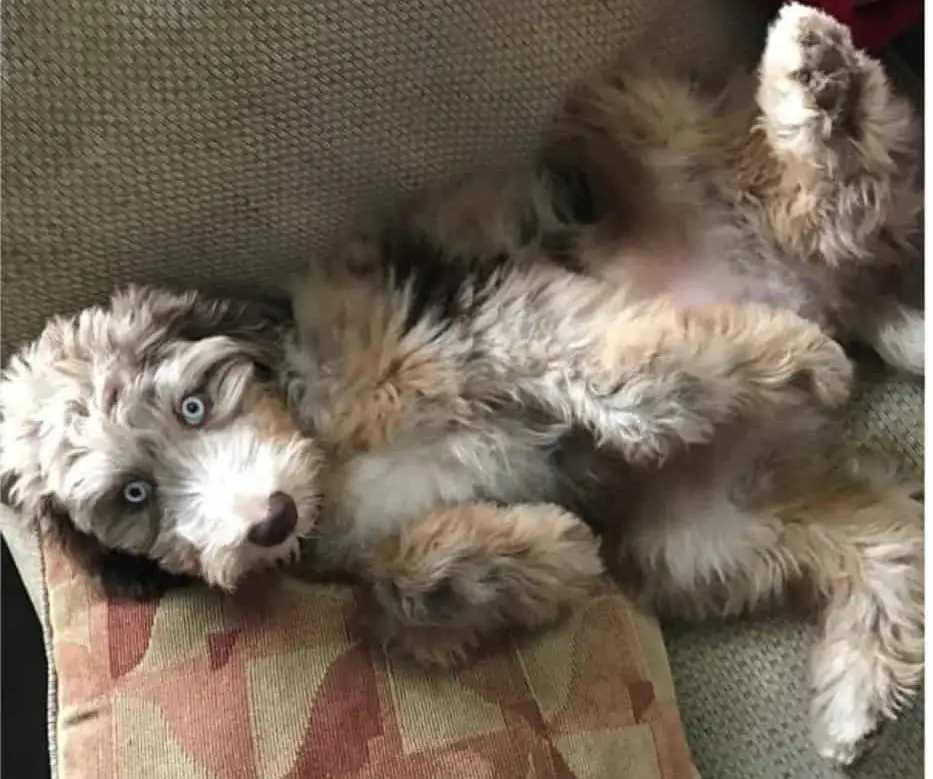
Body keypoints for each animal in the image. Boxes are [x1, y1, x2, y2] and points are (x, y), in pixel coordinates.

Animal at [0, 1, 916, 768]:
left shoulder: (486, 321)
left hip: (663, 136)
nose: (269, 520)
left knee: (844, 199)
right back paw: (859, 692)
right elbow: (397, 586)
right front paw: (544, 554)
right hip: (700, 530)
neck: (318, 433)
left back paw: (819, 85)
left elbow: (626, 383)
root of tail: (823, 290)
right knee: (877, 531)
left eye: (193, 404)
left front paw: (791, 358)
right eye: (133, 494)